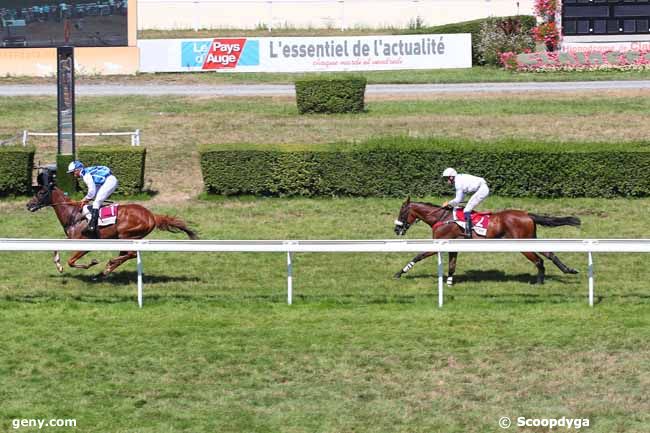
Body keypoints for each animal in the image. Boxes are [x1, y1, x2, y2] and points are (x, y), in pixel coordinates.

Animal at [26, 174, 197, 276]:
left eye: (41, 193)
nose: (28, 205)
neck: (73, 214)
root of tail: (151, 215)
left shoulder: (86, 244)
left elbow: (71, 261)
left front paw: (92, 262)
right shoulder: (70, 240)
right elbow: (56, 249)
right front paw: (58, 265)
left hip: (127, 235)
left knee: (131, 254)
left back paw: (109, 264)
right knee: (127, 254)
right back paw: (107, 269)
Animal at [390, 197, 576, 286]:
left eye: (402, 212)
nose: (397, 229)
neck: (442, 218)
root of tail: (527, 214)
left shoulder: (438, 244)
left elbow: (418, 256)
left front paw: (399, 272)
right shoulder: (453, 246)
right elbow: (452, 265)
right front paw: (449, 282)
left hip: (522, 244)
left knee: (539, 261)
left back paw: (538, 282)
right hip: (531, 239)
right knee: (549, 253)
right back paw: (568, 270)